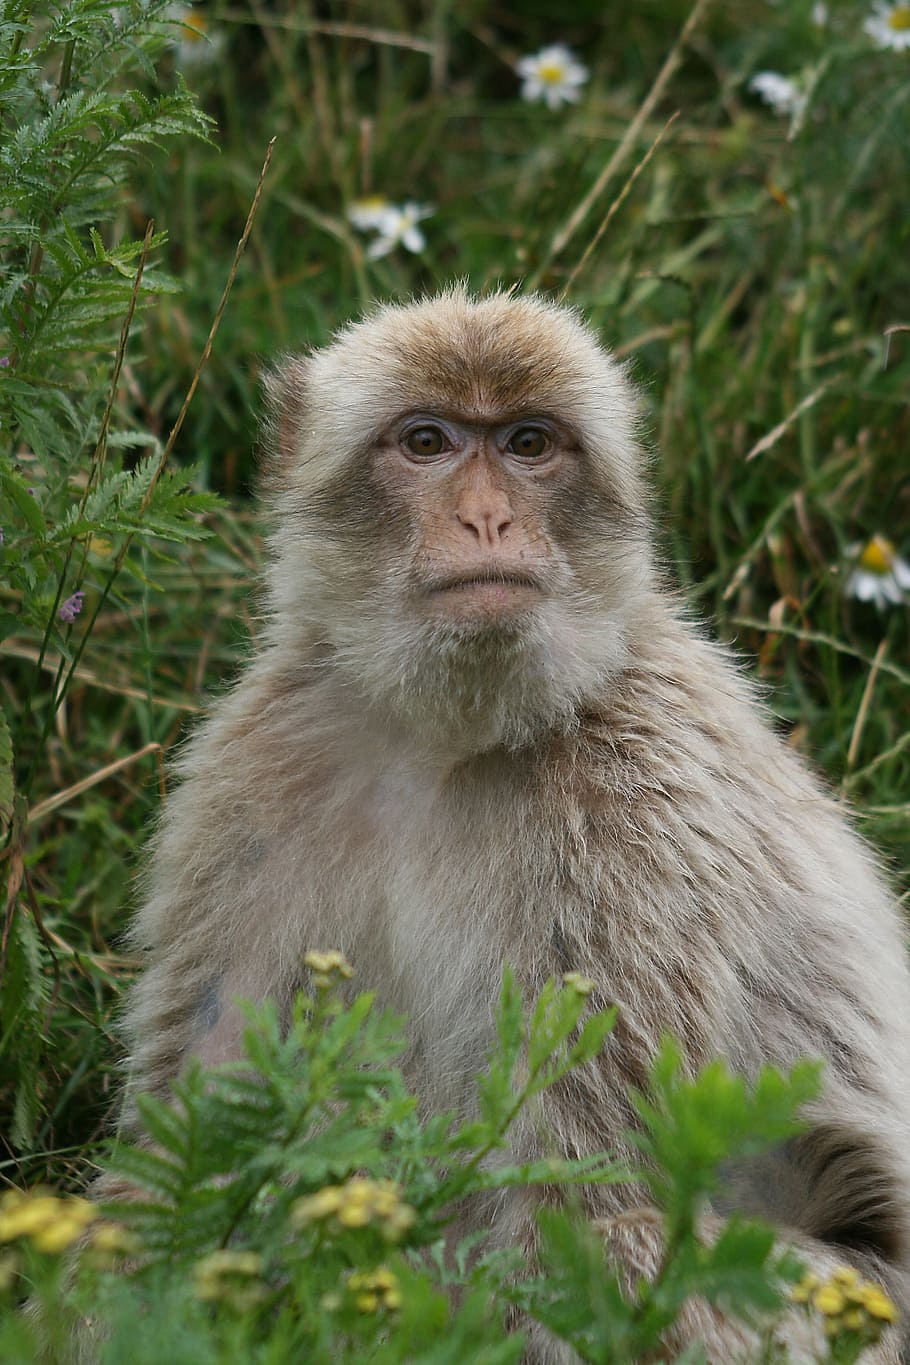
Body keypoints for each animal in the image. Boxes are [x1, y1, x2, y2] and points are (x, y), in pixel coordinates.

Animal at [114, 288, 910, 1362]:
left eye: (530, 443)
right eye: (428, 441)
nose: (487, 515)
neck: (447, 743)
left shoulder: (635, 823)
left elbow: (577, 1194)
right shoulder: (253, 780)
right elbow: (184, 1137)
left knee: (624, 1247)